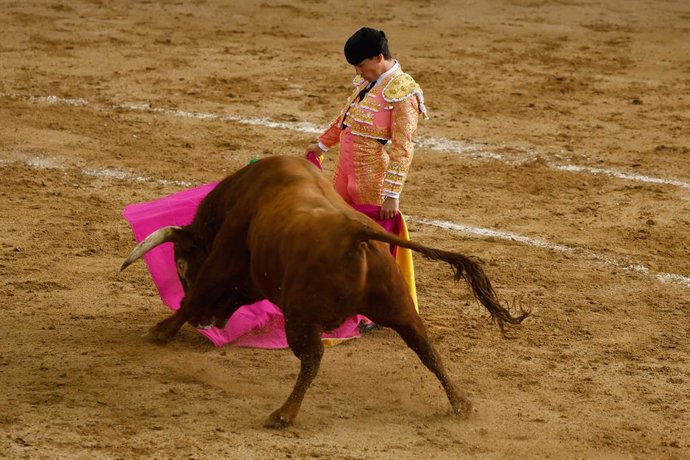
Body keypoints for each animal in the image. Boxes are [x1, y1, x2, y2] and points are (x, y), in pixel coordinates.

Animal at [121, 155, 524, 428]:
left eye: (181, 265)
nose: (208, 323)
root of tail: (356, 233)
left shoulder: (224, 260)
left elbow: (194, 296)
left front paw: (159, 331)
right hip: (399, 309)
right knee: (426, 349)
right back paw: (461, 404)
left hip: (300, 317)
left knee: (312, 357)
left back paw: (284, 414)